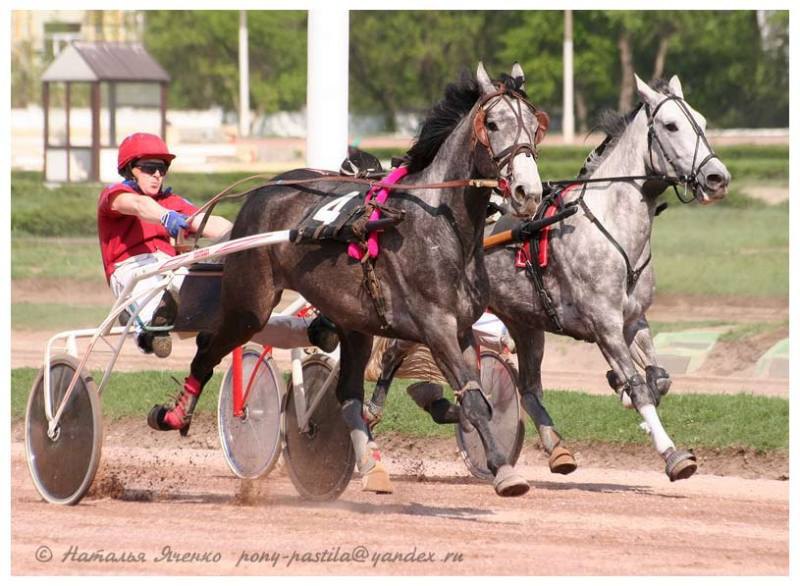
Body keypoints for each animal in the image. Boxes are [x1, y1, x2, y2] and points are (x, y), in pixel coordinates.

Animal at [368, 73, 732, 480]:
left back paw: (557, 448)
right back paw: (375, 418)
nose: (717, 177)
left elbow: (660, 378)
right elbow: (639, 387)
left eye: (702, 122)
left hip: (524, 322)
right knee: (394, 354)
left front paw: (623, 388)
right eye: (671, 125)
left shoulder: (633, 320)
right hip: (431, 311)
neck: (612, 226)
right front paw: (671, 452)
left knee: (528, 388)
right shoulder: (604, 323)